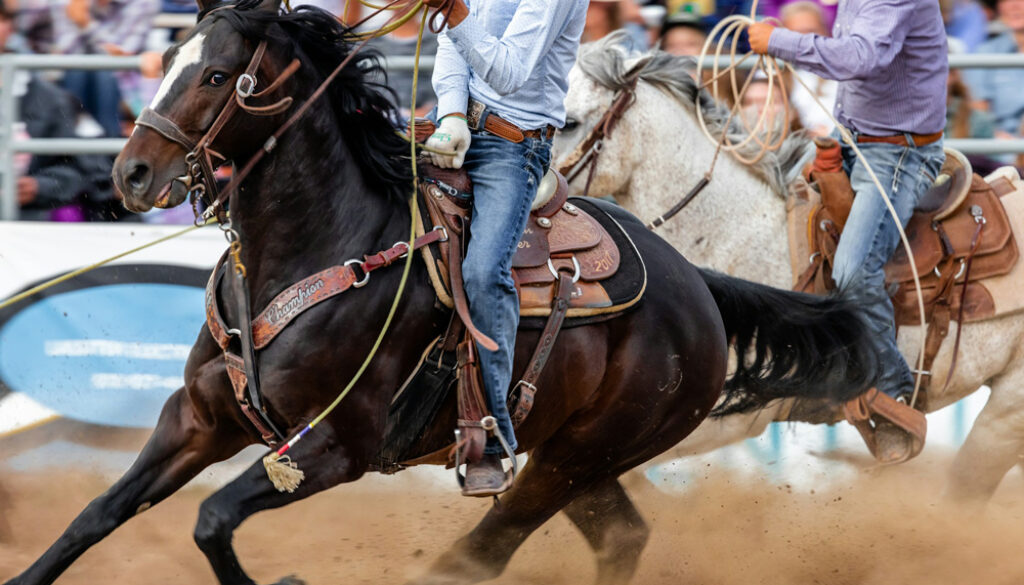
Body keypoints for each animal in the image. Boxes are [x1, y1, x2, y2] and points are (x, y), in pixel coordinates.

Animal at [4, 2, 876, 581]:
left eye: (220, 75)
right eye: (167, 63)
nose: (130, 174)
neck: (322, 246)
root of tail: (697, 284)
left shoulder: (335, 446)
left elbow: (213, 519)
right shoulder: (197, 419)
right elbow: (95, 516)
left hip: (574, 460)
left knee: (477, 556)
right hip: (579, 461)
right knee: (620, 538)